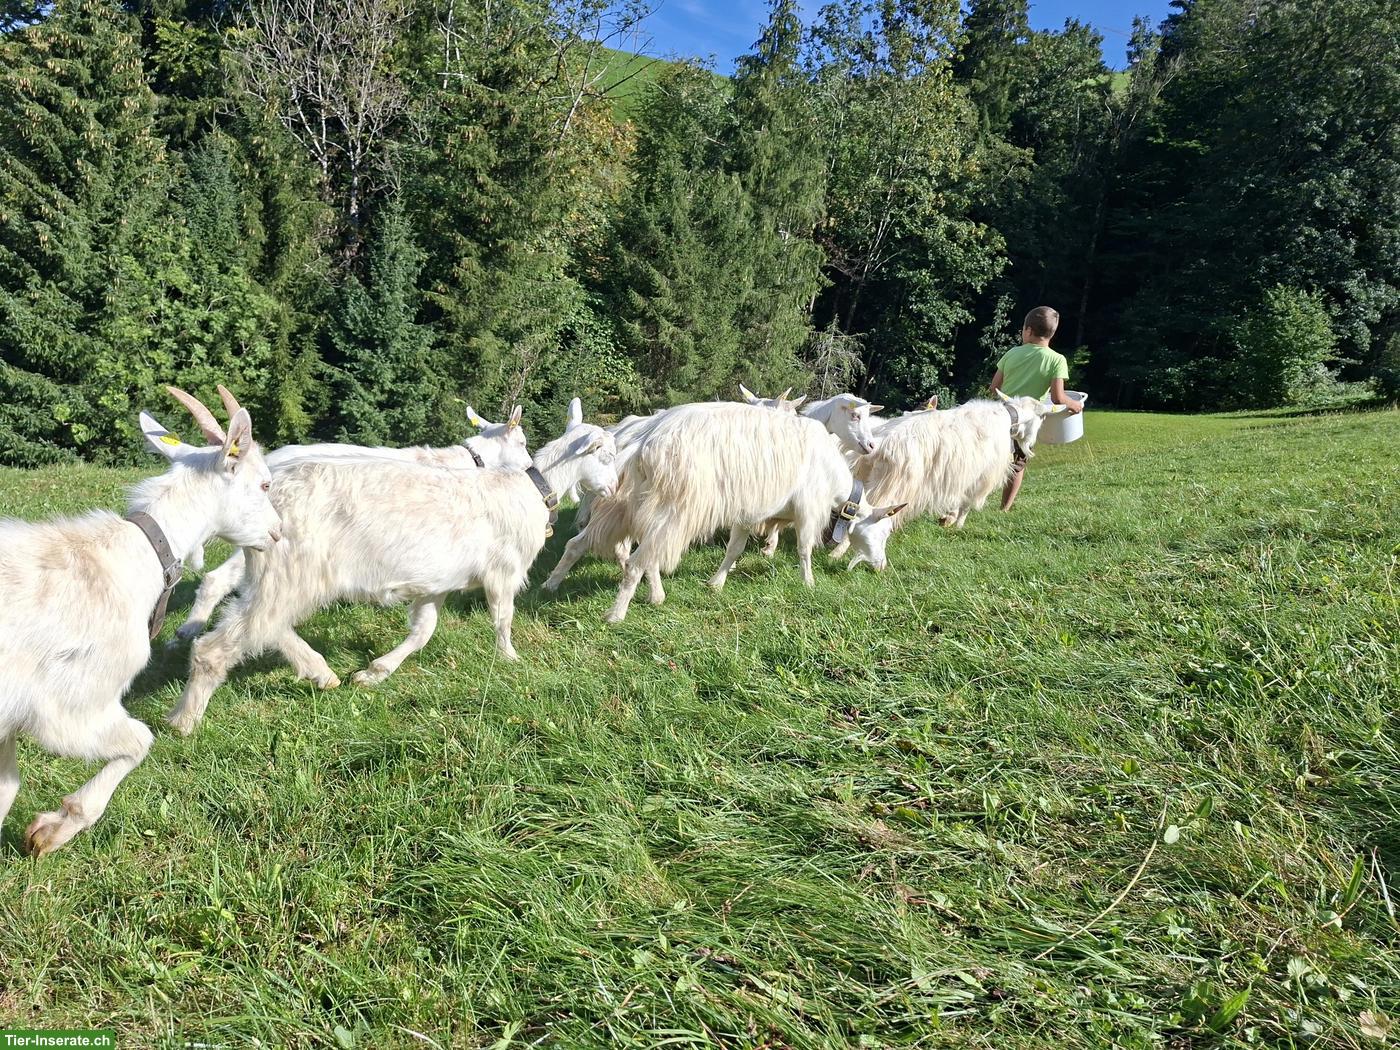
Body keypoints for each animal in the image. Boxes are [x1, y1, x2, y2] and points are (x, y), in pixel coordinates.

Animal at [0, 390, 279, 855]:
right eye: (264, 484)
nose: (278, 532)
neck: (132, 558)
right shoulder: (70, 706)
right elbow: (140, 740)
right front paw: (54, 829)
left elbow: (6, 787)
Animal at [166, 409, 619, 735]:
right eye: (606, 455)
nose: (614, 490)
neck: (531, 490)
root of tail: (271, 490)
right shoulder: (503, 571)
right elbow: (503, 618)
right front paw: (509, 658)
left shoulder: (436, 583)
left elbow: (423, 632)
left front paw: (374, 673)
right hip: (291, 573)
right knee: (226, 641)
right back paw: (184, 721)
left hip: (281, 576)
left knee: (262, 622)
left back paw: (321, 673)